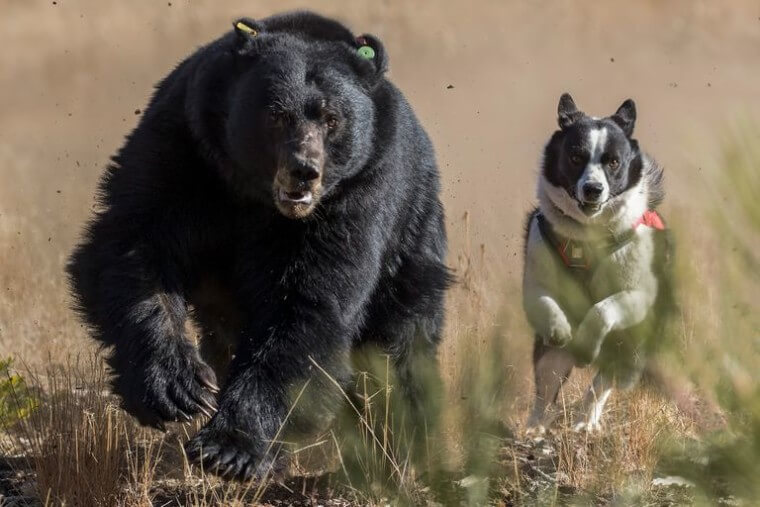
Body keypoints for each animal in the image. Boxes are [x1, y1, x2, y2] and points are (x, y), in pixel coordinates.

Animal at [66, 11, 451, 480]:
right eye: (276, 114)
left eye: (331, 118)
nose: (303, 171)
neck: (256, 198)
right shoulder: (186, 149)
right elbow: (136, 245)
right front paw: (177, 388)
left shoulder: (356, 196)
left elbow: (306, 305)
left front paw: (228, 448)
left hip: (411, 246)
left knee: (402, 349)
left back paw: (401, 445)